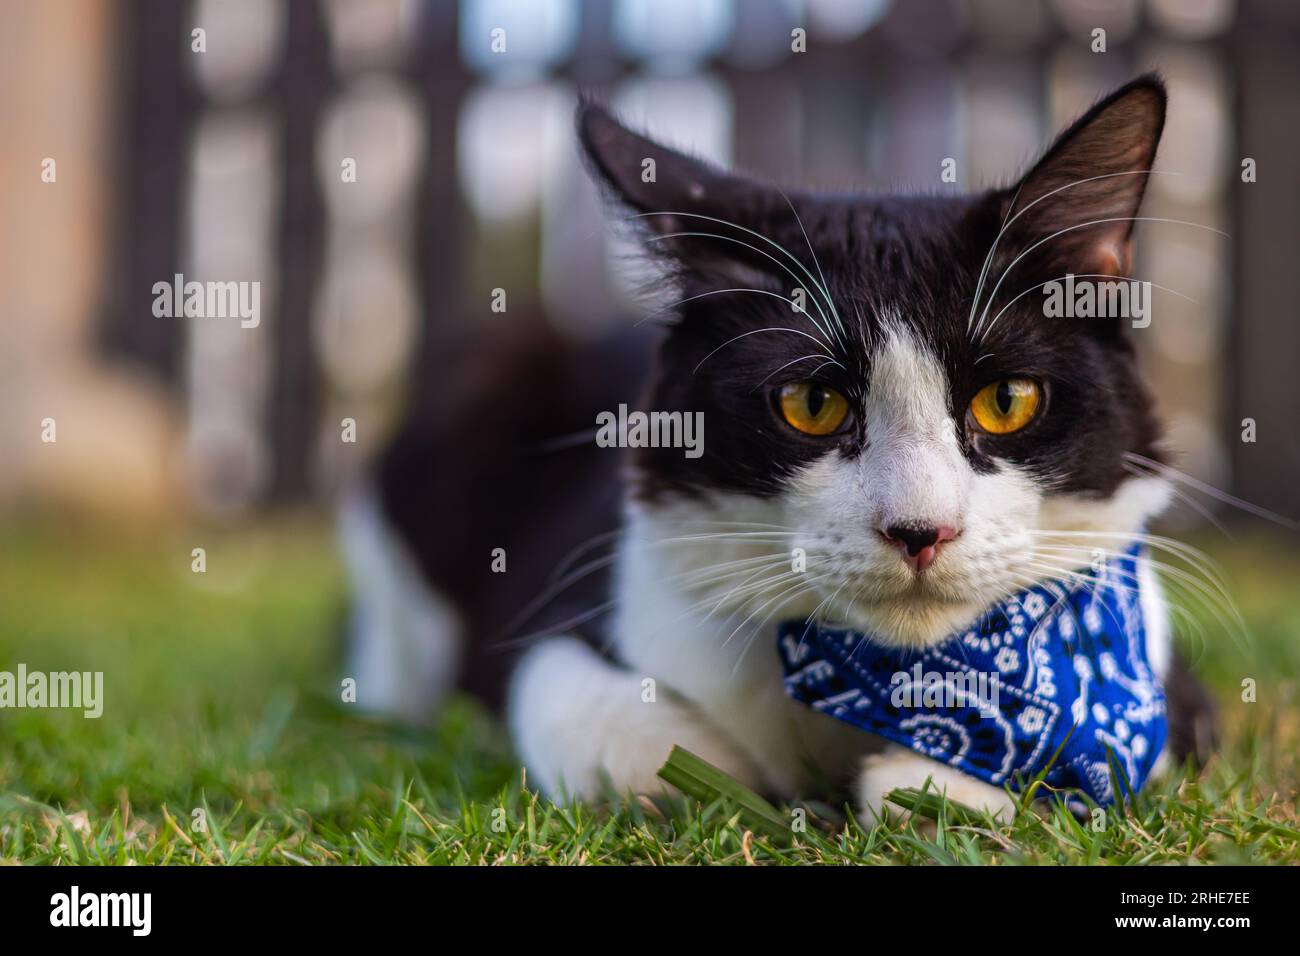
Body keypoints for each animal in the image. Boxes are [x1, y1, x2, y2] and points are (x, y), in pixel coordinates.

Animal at [345, 74, 1216, 822]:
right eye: (813, 404)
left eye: (1006, 401)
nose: (921, 531)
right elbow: (603, 722)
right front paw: (730, 775)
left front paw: (933, 781)